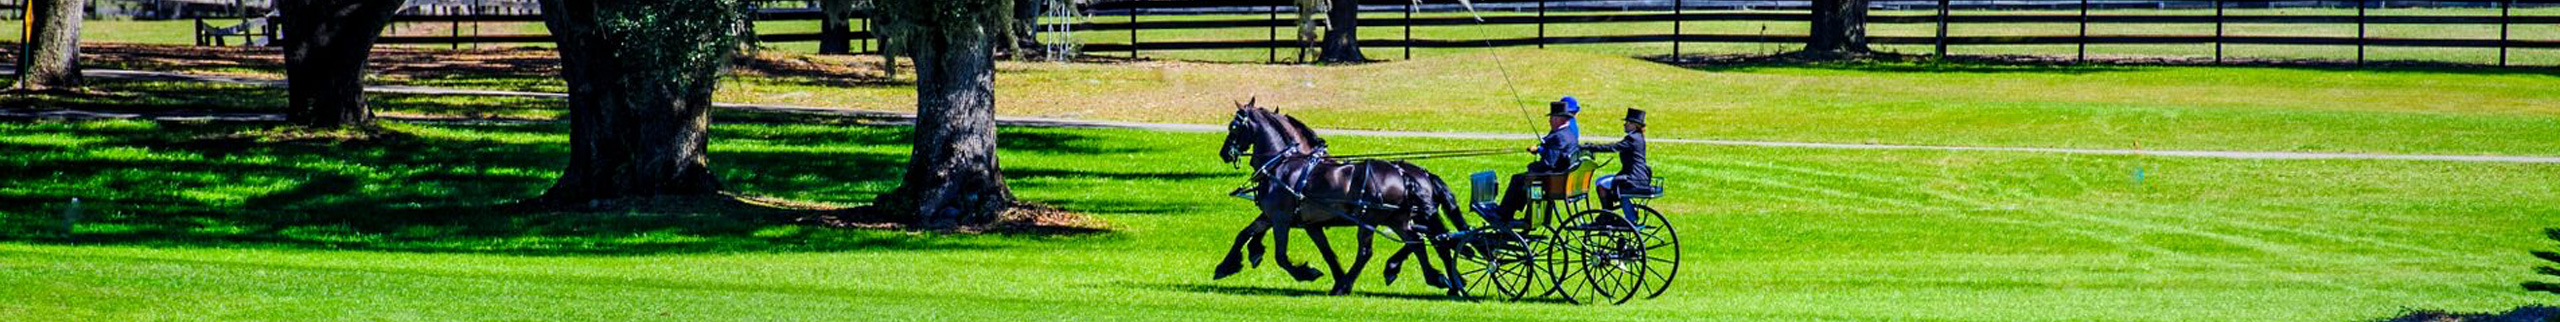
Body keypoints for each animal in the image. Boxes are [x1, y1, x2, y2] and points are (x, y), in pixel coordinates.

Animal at [1213, 101, 1464, 295]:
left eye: (1233, 127)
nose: (1224, 153)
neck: (1283, 165)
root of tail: (1408, 175)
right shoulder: (1297, 222)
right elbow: (1246, 234)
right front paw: (1226, 266)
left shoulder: (1280, 219)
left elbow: (1281, 256)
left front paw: (1306, 273)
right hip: (1398, 220)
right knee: (1421, 242)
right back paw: (1438, 279)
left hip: (1371, 220)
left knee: (1369, 252)